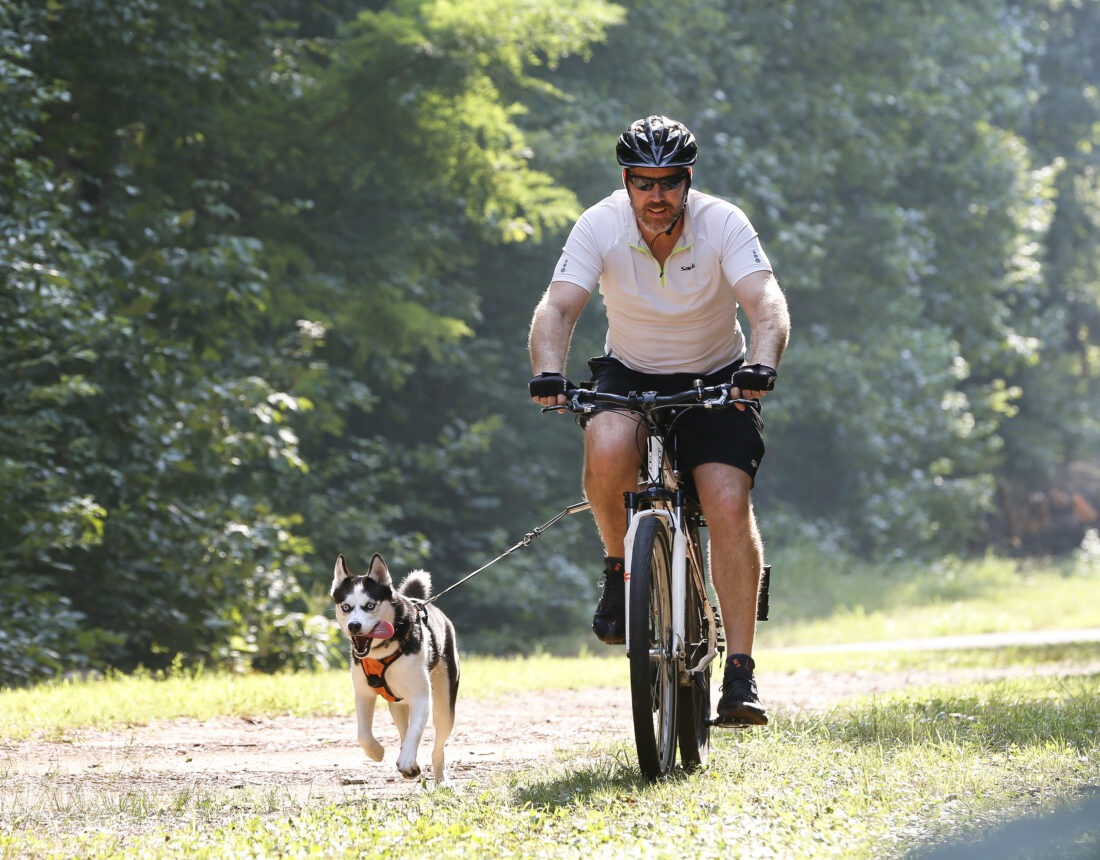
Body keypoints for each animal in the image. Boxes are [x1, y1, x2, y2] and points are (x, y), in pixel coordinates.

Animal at [330, 556, 459, 783]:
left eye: (370, 605)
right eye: (346, 607)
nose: (354, 625)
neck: (381, 652)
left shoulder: (421, 696)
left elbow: (416, 730)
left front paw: (407, 761)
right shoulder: (363, 693)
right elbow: (363, 735)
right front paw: (376, 752)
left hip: (444, 704)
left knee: (438, 746)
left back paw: (441, 779)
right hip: (397, 704)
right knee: (402, 728)